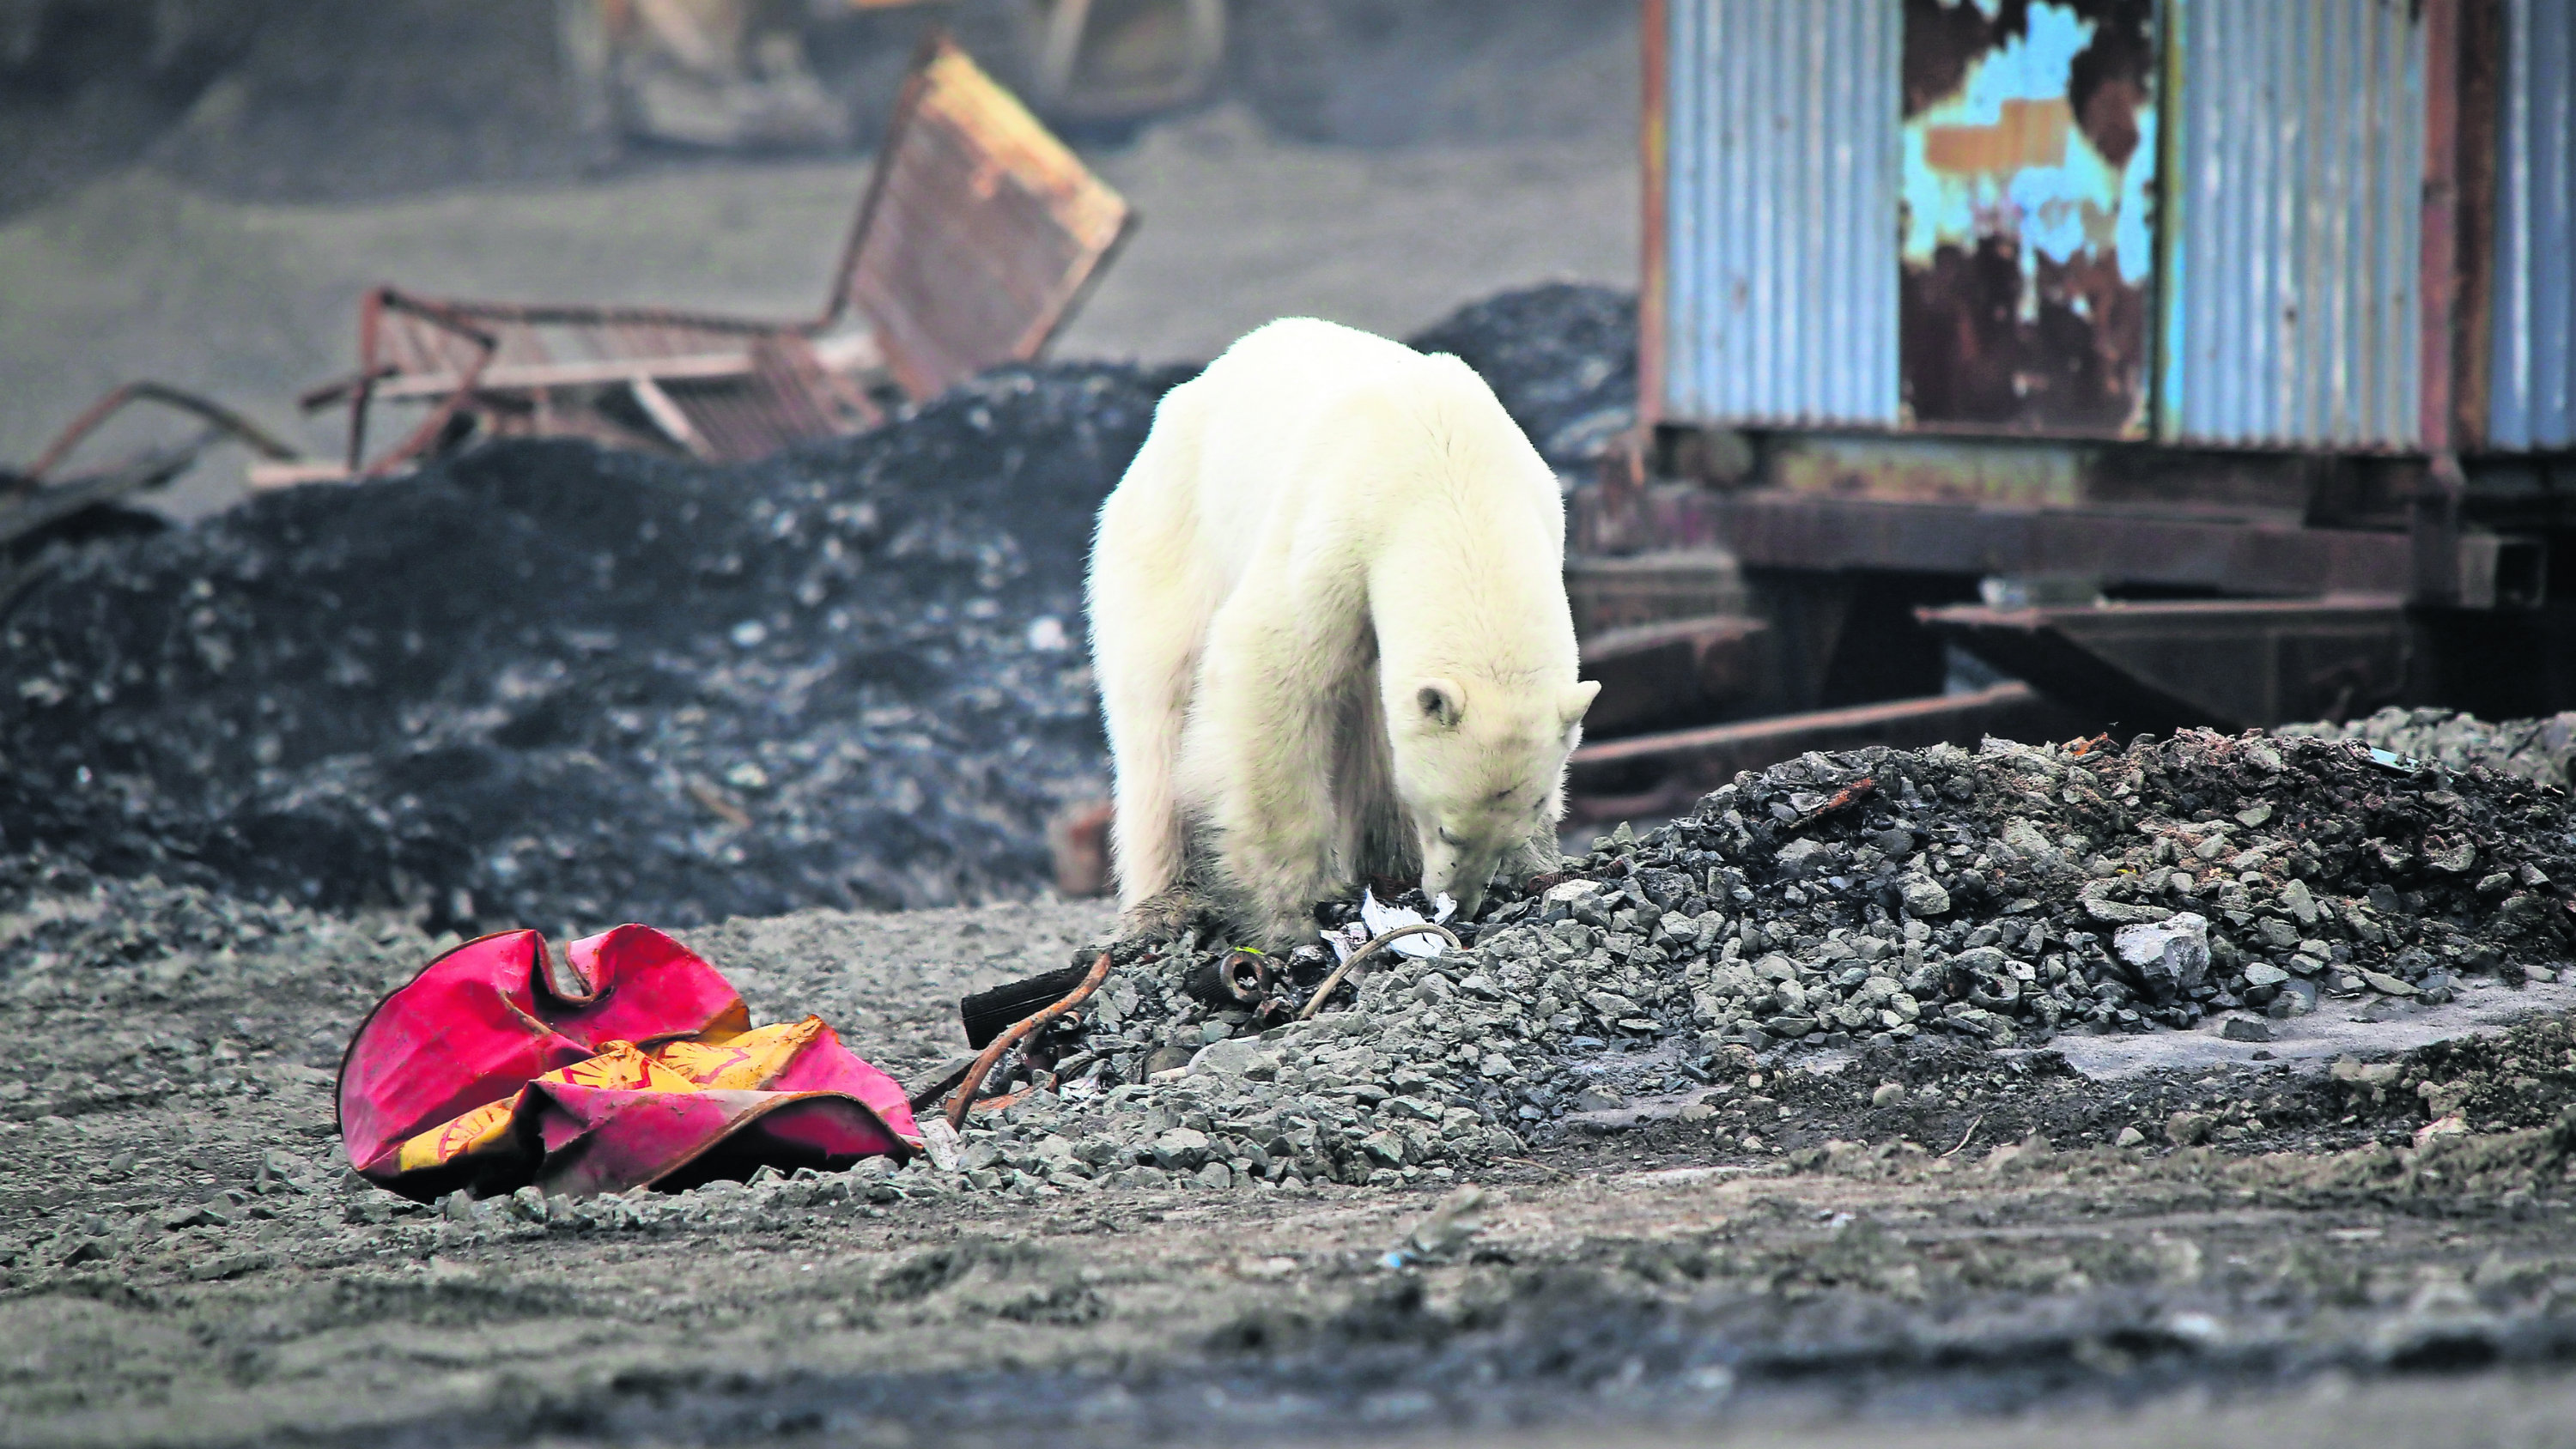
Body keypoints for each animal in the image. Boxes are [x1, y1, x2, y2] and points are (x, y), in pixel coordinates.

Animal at [1082, 318, 1587, 952]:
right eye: (1448, 827)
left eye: (1514, 825)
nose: (1460, 902)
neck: (1448, 471)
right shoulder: (1339, 521)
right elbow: (1270, 669)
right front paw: (1291, 914)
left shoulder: (1540, 506)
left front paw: (1538, 863)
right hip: (1170, 533)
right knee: (1158, 704)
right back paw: (1165, 903)